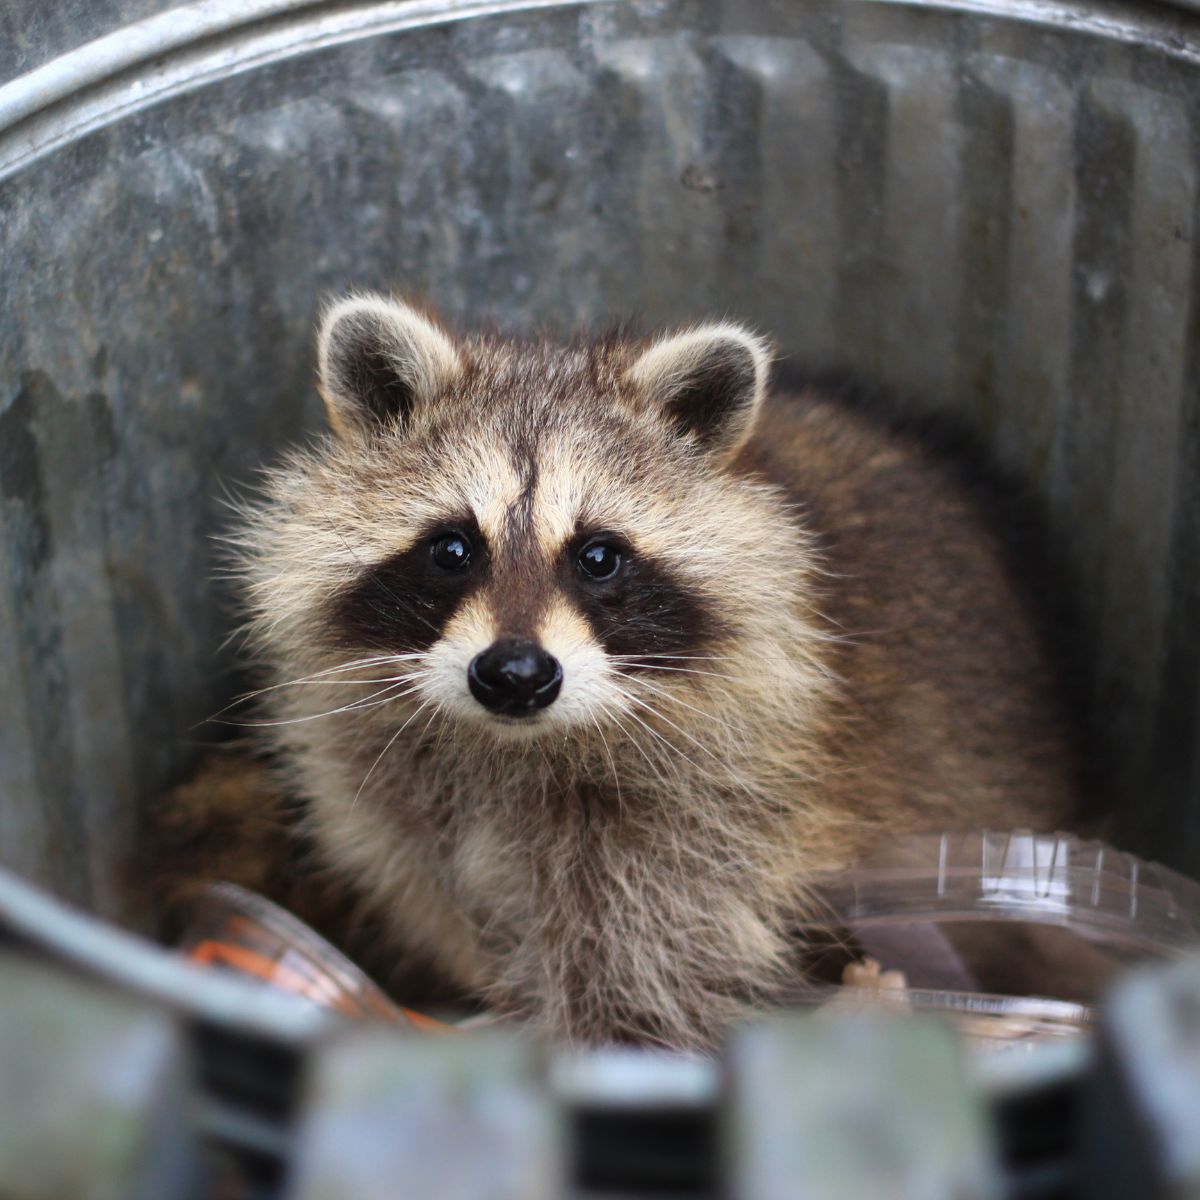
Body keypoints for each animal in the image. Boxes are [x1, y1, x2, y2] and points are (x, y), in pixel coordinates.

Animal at [162, 294, 1085, 1049]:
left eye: (599, 557)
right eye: (451, 549)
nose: (516, 674)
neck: (513, 746)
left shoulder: (710, 821)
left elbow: (640, 980)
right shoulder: (391, 798)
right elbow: (440, 895)